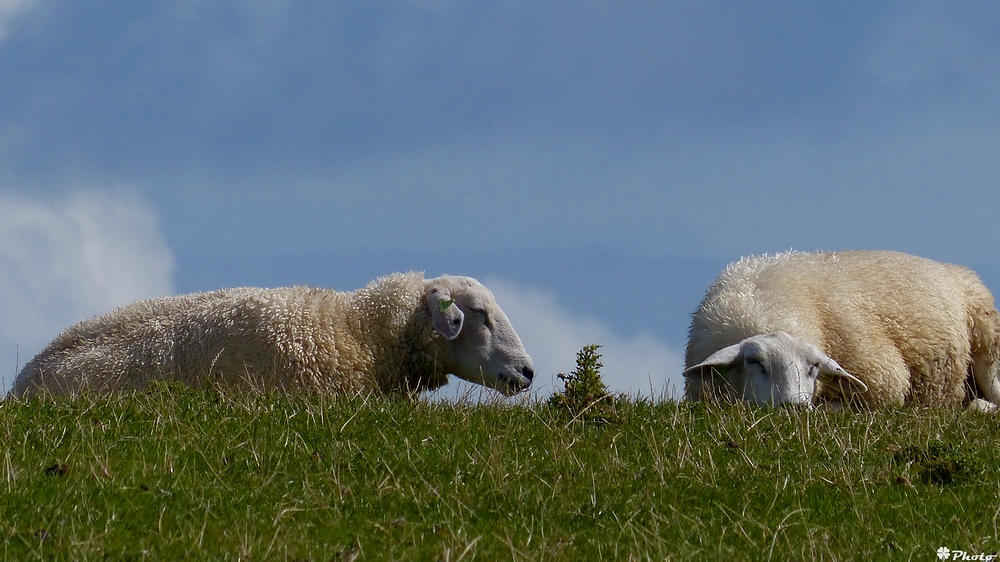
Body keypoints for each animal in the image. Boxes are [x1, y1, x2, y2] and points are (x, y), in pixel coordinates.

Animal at [684, 249, 1000, 406]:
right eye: (754, 362)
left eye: (813, 367)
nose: (795, 407)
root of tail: (954, 270)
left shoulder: (884, 380)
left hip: (987, 348)